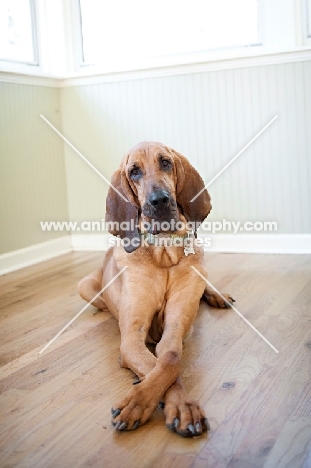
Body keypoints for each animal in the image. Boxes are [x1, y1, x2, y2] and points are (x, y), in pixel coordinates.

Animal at [78, 141, 234, 436]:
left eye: (165, 163)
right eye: (134, 172)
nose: (159, 200)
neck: (163, 253)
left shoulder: (176, 326)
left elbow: (170, 358)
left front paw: (179, 406)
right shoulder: (131, 339)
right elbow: (155, 365)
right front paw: (140, 401)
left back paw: (218, 295)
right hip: (85, 286)